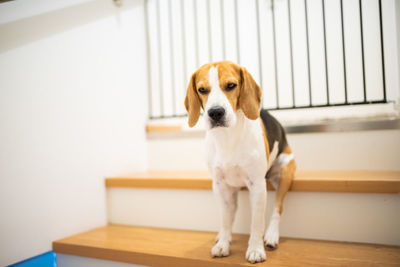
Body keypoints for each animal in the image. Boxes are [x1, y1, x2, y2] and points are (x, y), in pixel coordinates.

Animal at [186, 61, 296, 264]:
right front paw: (223, 243)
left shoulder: (258, 186)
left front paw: (255, 249)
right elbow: (225, 219)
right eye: (202, 90)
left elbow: (256, 222)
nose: (215, 112)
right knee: (231, 213)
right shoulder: (220, 186)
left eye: (231, 85)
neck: (227, 137)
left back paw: (271, 236)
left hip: (286, 170)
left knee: (278, 207)